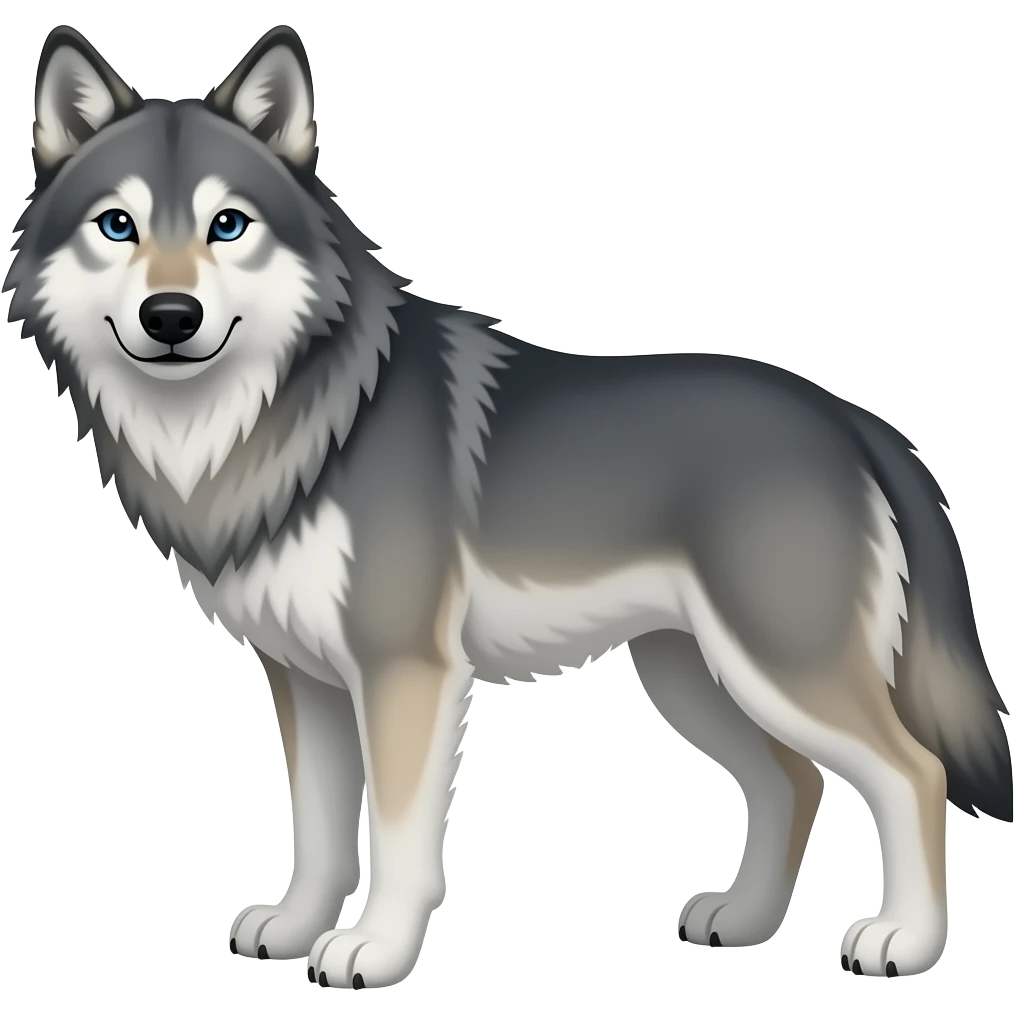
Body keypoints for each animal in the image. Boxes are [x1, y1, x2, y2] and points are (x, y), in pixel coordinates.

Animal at [5, 22, 1011, 989]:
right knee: (793, 782)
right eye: (117, 225)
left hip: (775, 667)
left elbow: (398, 840)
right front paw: (294, 929)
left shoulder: (405, 673)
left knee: (912, 773)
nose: (171, 317)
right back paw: (745, 920)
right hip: (693, 675)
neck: (280, 422)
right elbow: (318, 833)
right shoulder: (305, 679)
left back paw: (903, 943)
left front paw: (375, 951)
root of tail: (850, 417)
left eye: (227, 224)